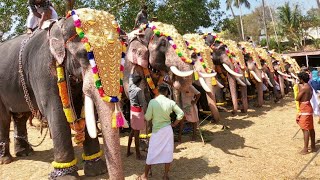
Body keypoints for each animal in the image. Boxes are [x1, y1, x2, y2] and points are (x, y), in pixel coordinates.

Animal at [0, 8, 127, 180]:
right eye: (84, 54)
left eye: (123, 53)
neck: (60, 27)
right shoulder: (43, 69)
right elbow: (56, 111)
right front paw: (66, 176)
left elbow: (87, 111)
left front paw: (97, 170)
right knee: (4, 118)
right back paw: (6, 159)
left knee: (20, 116)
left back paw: (25, 153)